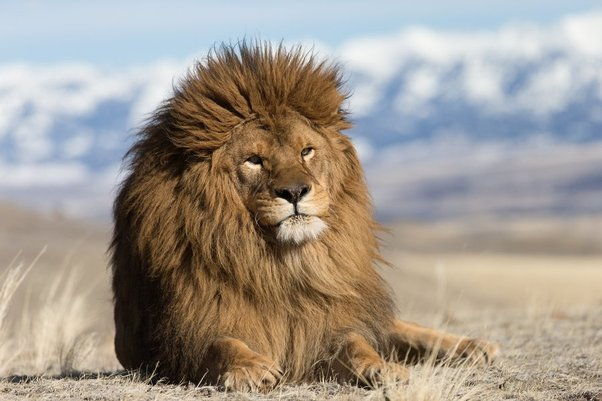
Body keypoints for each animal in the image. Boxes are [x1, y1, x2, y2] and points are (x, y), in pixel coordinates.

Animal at [109, 42, 496, 390]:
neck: (283, 265)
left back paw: (475, 347)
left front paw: (380, 367)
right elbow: (220, 345)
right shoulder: (181, 334)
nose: (295, 192)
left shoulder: (327, 319)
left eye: (306, 151)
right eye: (254, 160)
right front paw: (251, 368)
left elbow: (357, 343)